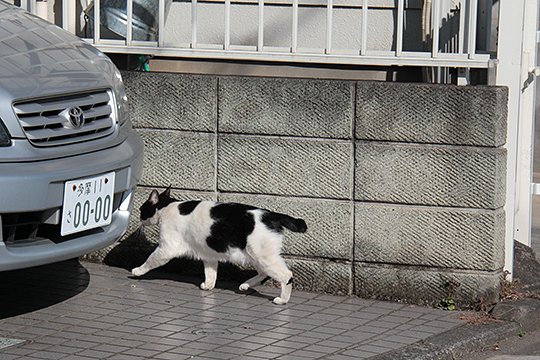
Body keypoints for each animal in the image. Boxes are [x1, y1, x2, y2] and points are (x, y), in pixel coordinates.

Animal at [131, 188, 308, 304]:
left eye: (141, 210)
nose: (140, 219)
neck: (167, 207)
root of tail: (272, 215)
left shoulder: (166, 249)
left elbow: (150, 260)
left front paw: (137, 271)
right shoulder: (208, 255)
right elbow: (210, 274)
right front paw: (208, 286)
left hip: (262, 256)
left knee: (286, 275)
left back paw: (282, 300)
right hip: (255, 256)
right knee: (264, 273)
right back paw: (245, 285)